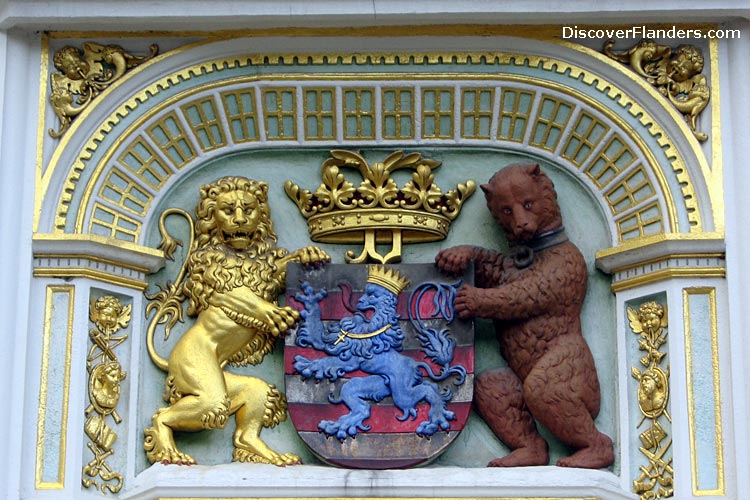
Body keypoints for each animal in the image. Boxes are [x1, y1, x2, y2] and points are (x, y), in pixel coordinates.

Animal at [292, 264, 464, 440]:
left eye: (372, 294)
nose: (359, 301)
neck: (370, 326)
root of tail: (416, 364)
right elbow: (318, 338)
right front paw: (311, 301)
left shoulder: (352, 357)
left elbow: (327, 360)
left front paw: (306, 365)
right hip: (380, 385)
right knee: (360, 402)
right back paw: (336, 425)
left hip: (401, 390)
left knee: (424, 391)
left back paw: (433, 422)